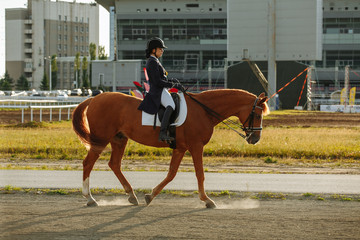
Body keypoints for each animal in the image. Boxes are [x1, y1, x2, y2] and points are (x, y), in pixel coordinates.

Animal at [71, 88, 268, 208]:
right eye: (258, 115)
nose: (255, 138)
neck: (203, 111)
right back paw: (90, 198)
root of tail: (95, 98)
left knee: (114, 164)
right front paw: (207, 200)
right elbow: (200, 174)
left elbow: (171, 173)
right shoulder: (196, 146)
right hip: (101, 139)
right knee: (88, 163)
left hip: (119, 139)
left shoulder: (180, 148)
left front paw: (150, 196)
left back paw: (131, 195)